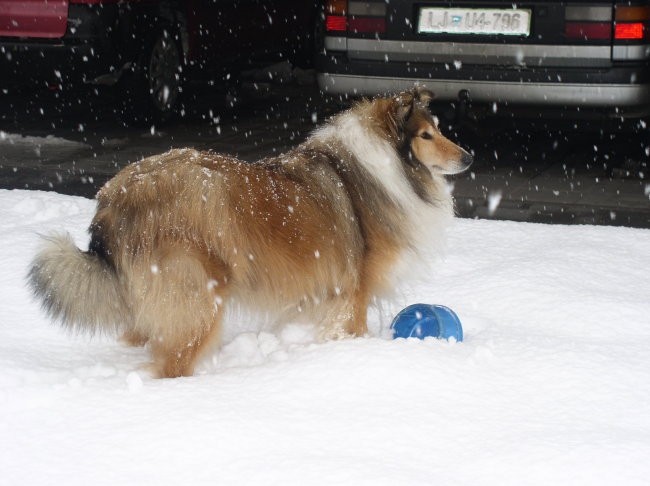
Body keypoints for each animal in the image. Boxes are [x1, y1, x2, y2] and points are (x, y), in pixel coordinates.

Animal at [29, 87, 470, 378]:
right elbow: (352, 327)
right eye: (426, 135)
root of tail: (114, 198)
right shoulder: (354, 289)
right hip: (197, 295)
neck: (388, 166)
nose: (468, 157)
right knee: (172, 362)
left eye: (440, 129)